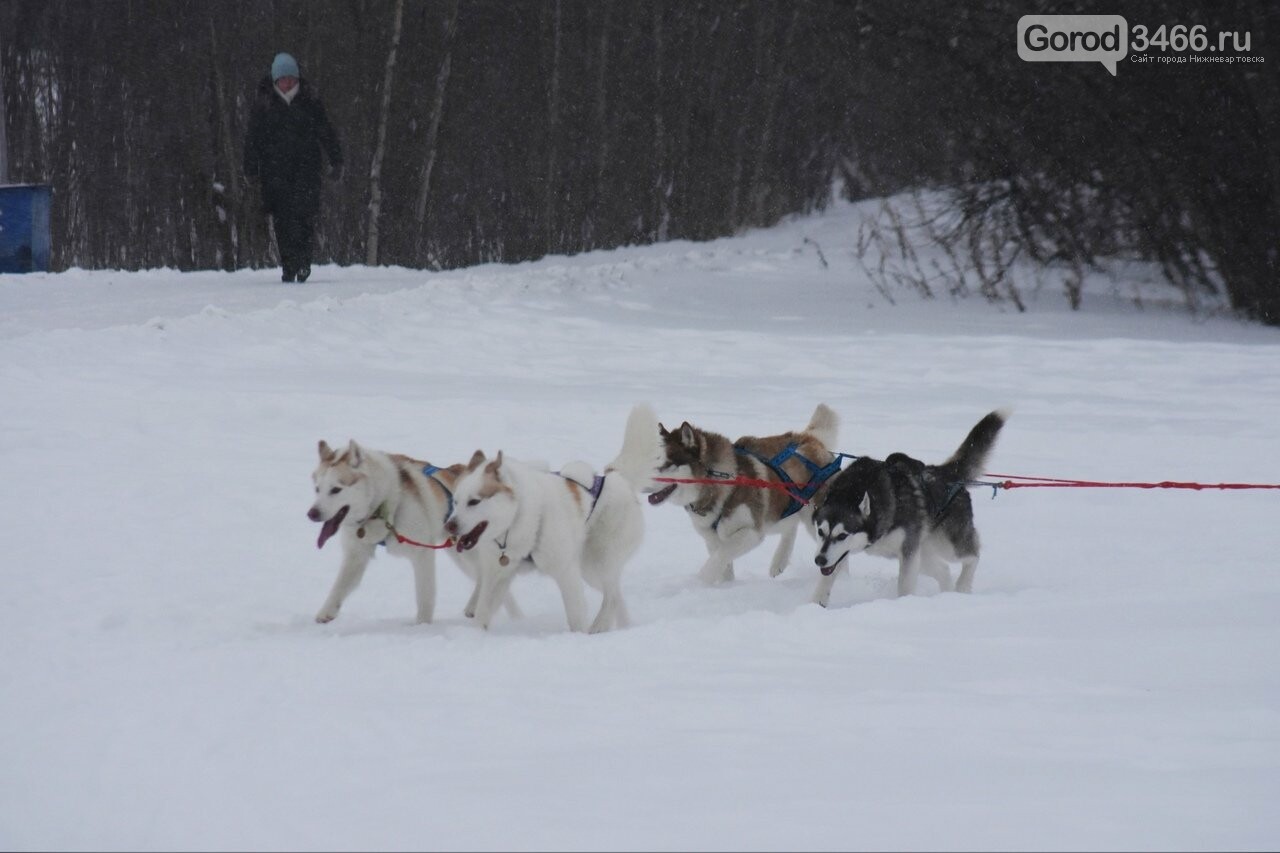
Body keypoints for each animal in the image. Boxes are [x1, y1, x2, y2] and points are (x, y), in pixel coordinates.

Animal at [307, 440, 522, 622]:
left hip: (467, 553)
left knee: (486, 576)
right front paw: (326, 612)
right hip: (458, 551)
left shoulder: (422, 554)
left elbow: (424, 595)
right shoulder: (356, 555)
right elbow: (339, 586)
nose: (312, 513)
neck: (384, 505)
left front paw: (422, 626)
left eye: (336, 489)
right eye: (317, 489)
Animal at [442, 404, 660, 630]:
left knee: (612, 597)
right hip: (589, 569)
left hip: (597, 562)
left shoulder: (566, 572)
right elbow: (482, 615)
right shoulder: (497, 576)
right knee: (617, 593)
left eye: (474, 502)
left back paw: (599, 626)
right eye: (455, 501)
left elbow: (576, 618)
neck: (523, 520)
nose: (449, 525)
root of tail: (618, 479)